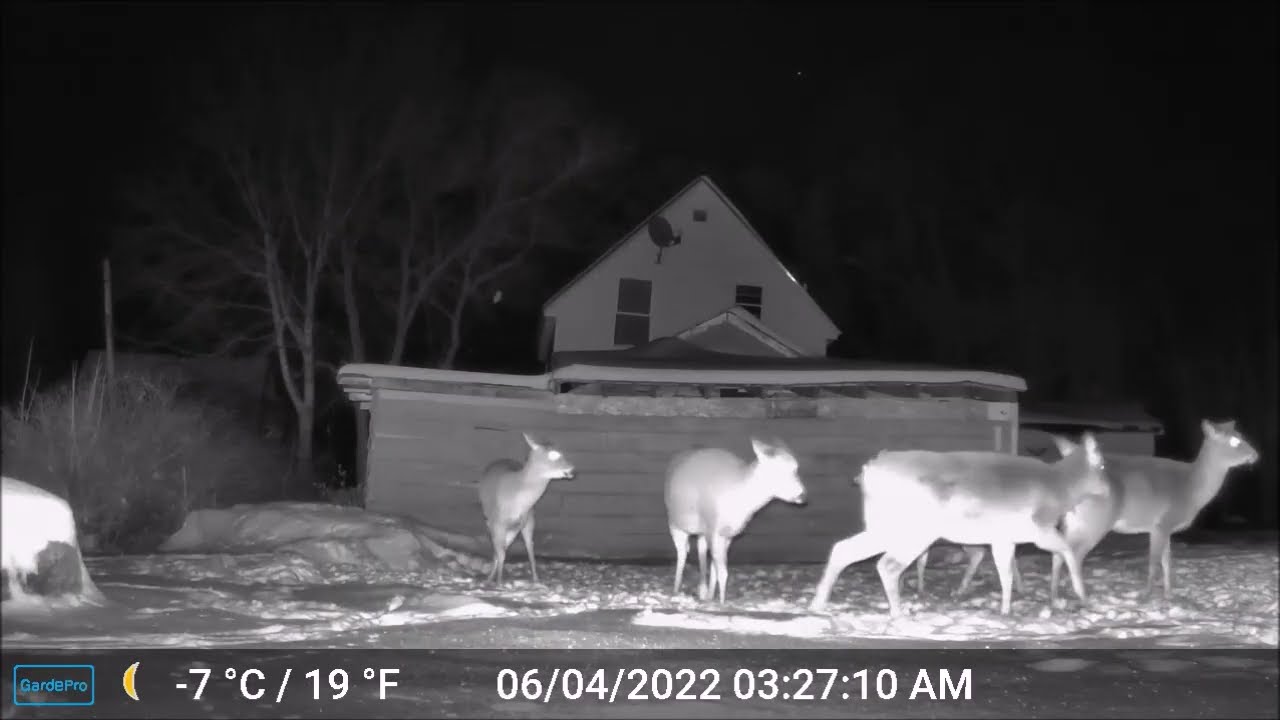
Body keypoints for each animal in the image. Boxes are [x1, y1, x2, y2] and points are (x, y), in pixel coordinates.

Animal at [477, 432, 576, 586]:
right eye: (553, 454)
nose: (572, 469)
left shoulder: (523, 521)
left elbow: (525, 548)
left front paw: (535, 579)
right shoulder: (498, 521)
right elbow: (501, 552)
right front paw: (497, 581)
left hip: (528, 520)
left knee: (526, 545)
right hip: (490, 518)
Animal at [664, 437, 808, 604]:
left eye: (795, 468)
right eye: (780, 470)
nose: (803, 496)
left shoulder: (727, 535)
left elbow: (716, 569)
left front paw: (713, 597)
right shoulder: (714, 529)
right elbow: (722, 572)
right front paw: (722, 602)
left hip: (701, 530)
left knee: (701, 550)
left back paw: (704, 592)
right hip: (675, 522)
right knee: (682, 553)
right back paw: (676, 589)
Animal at [808, 432, 1110, 617]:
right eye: (1103, 467)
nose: (1109, 489)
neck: (1060, 487)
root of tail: (868, 472)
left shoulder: (1004, 538)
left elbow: (1005, 572)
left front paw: (1005, 609)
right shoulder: (1039, 528)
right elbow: (1068, 551)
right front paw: (1083, 595)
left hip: (885, 527)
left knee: (843, 549)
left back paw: (818, 603)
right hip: (916, 531)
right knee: (888, 565)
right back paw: (898, 611)